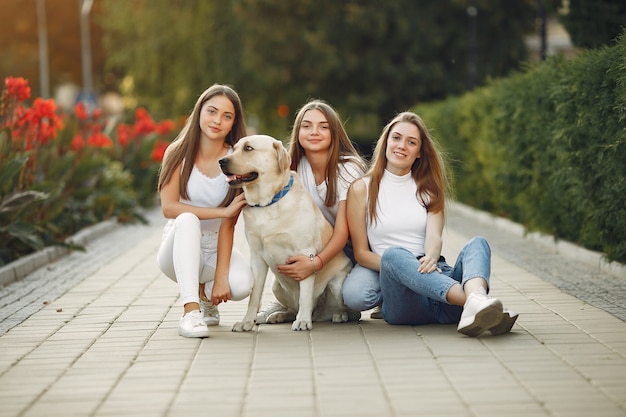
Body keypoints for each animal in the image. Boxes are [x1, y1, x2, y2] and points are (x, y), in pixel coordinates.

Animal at [218, 135, 358, 330]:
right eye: (235, 147)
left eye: (248, 148)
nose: (221, 161)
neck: (268, 203)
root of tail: (318, 314)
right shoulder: (256, 257)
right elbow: (254, 295)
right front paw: (247, 322)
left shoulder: (305, 254)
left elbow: (305, 295)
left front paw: (303, 321)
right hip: (276, 285)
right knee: (293, 308)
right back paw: (277, 315)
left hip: (337, 285)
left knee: (348, 311)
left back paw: (338, 315)